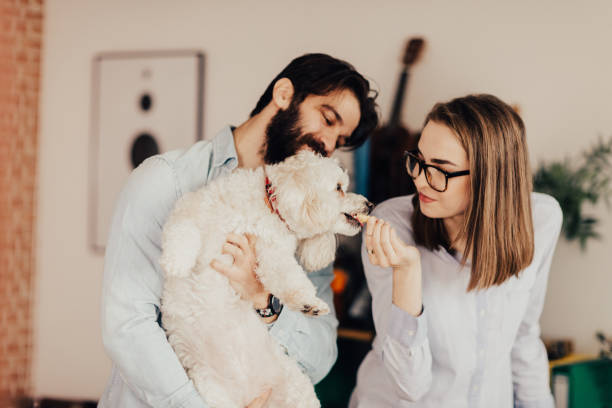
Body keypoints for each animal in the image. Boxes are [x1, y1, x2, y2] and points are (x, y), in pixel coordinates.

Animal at [159, 151, 368, 408]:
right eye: (339, 188)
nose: (370, 204)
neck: (269, 209)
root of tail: (248, 394)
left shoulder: (272, 253)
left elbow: (288, 277)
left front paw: (309, 305)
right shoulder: (194, 207)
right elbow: (182, 229)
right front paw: (176, 262)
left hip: (296, 390)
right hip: (212, 392)